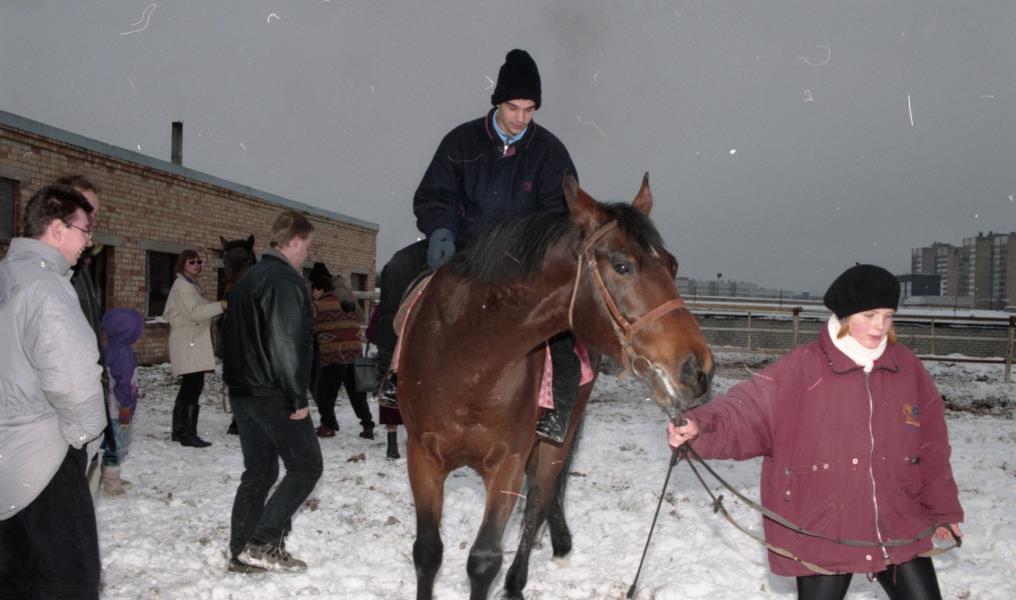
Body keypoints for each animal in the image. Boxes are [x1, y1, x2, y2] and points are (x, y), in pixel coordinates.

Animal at [396, 174, 714, 599]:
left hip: (556, 438)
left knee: (539, 499)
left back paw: (519, 580)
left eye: (672, 264)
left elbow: (484, 559)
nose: (698, 369)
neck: (468, 360)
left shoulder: (508, 465)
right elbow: (428, 552)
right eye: (622, 265)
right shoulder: (422, 456)